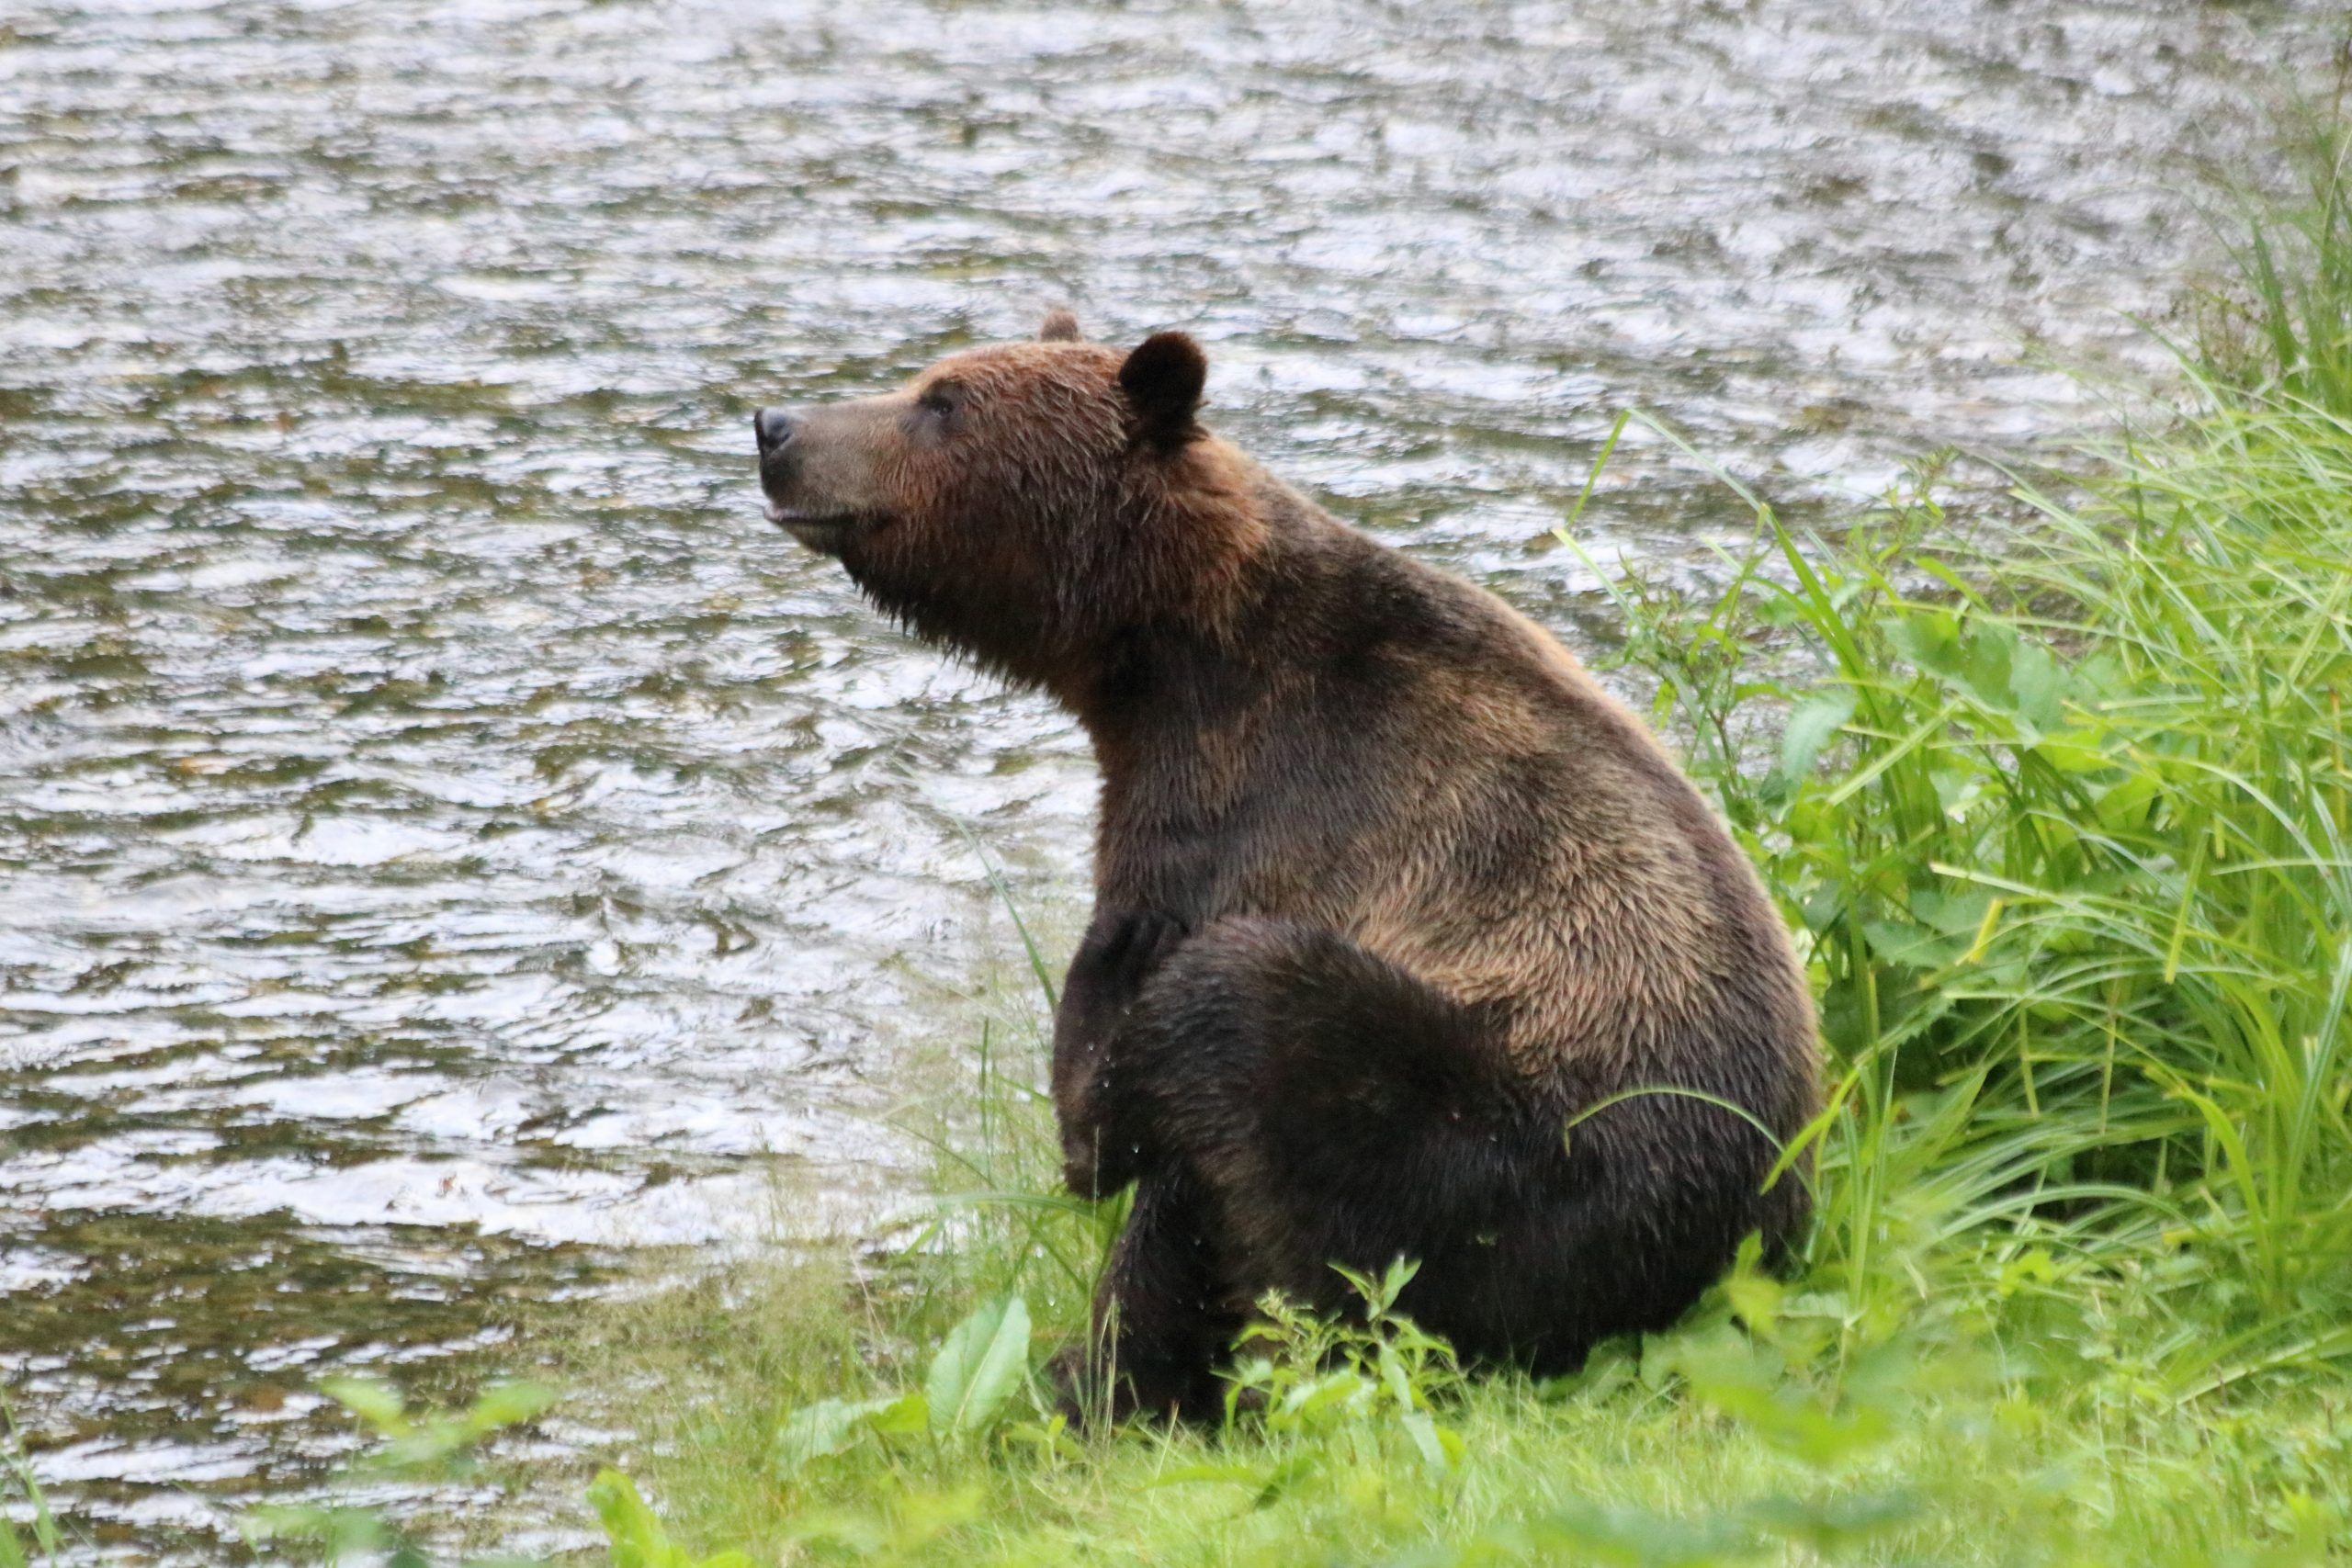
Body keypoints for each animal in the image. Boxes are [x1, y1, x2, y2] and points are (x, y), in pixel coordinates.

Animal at [752, 312, 1815, 1419]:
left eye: (941, 401)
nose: (776, 427)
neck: (1165, 663)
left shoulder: (1256, 807)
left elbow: (1140, 1117)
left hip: (1520, 1136)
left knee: (1265, 1049)